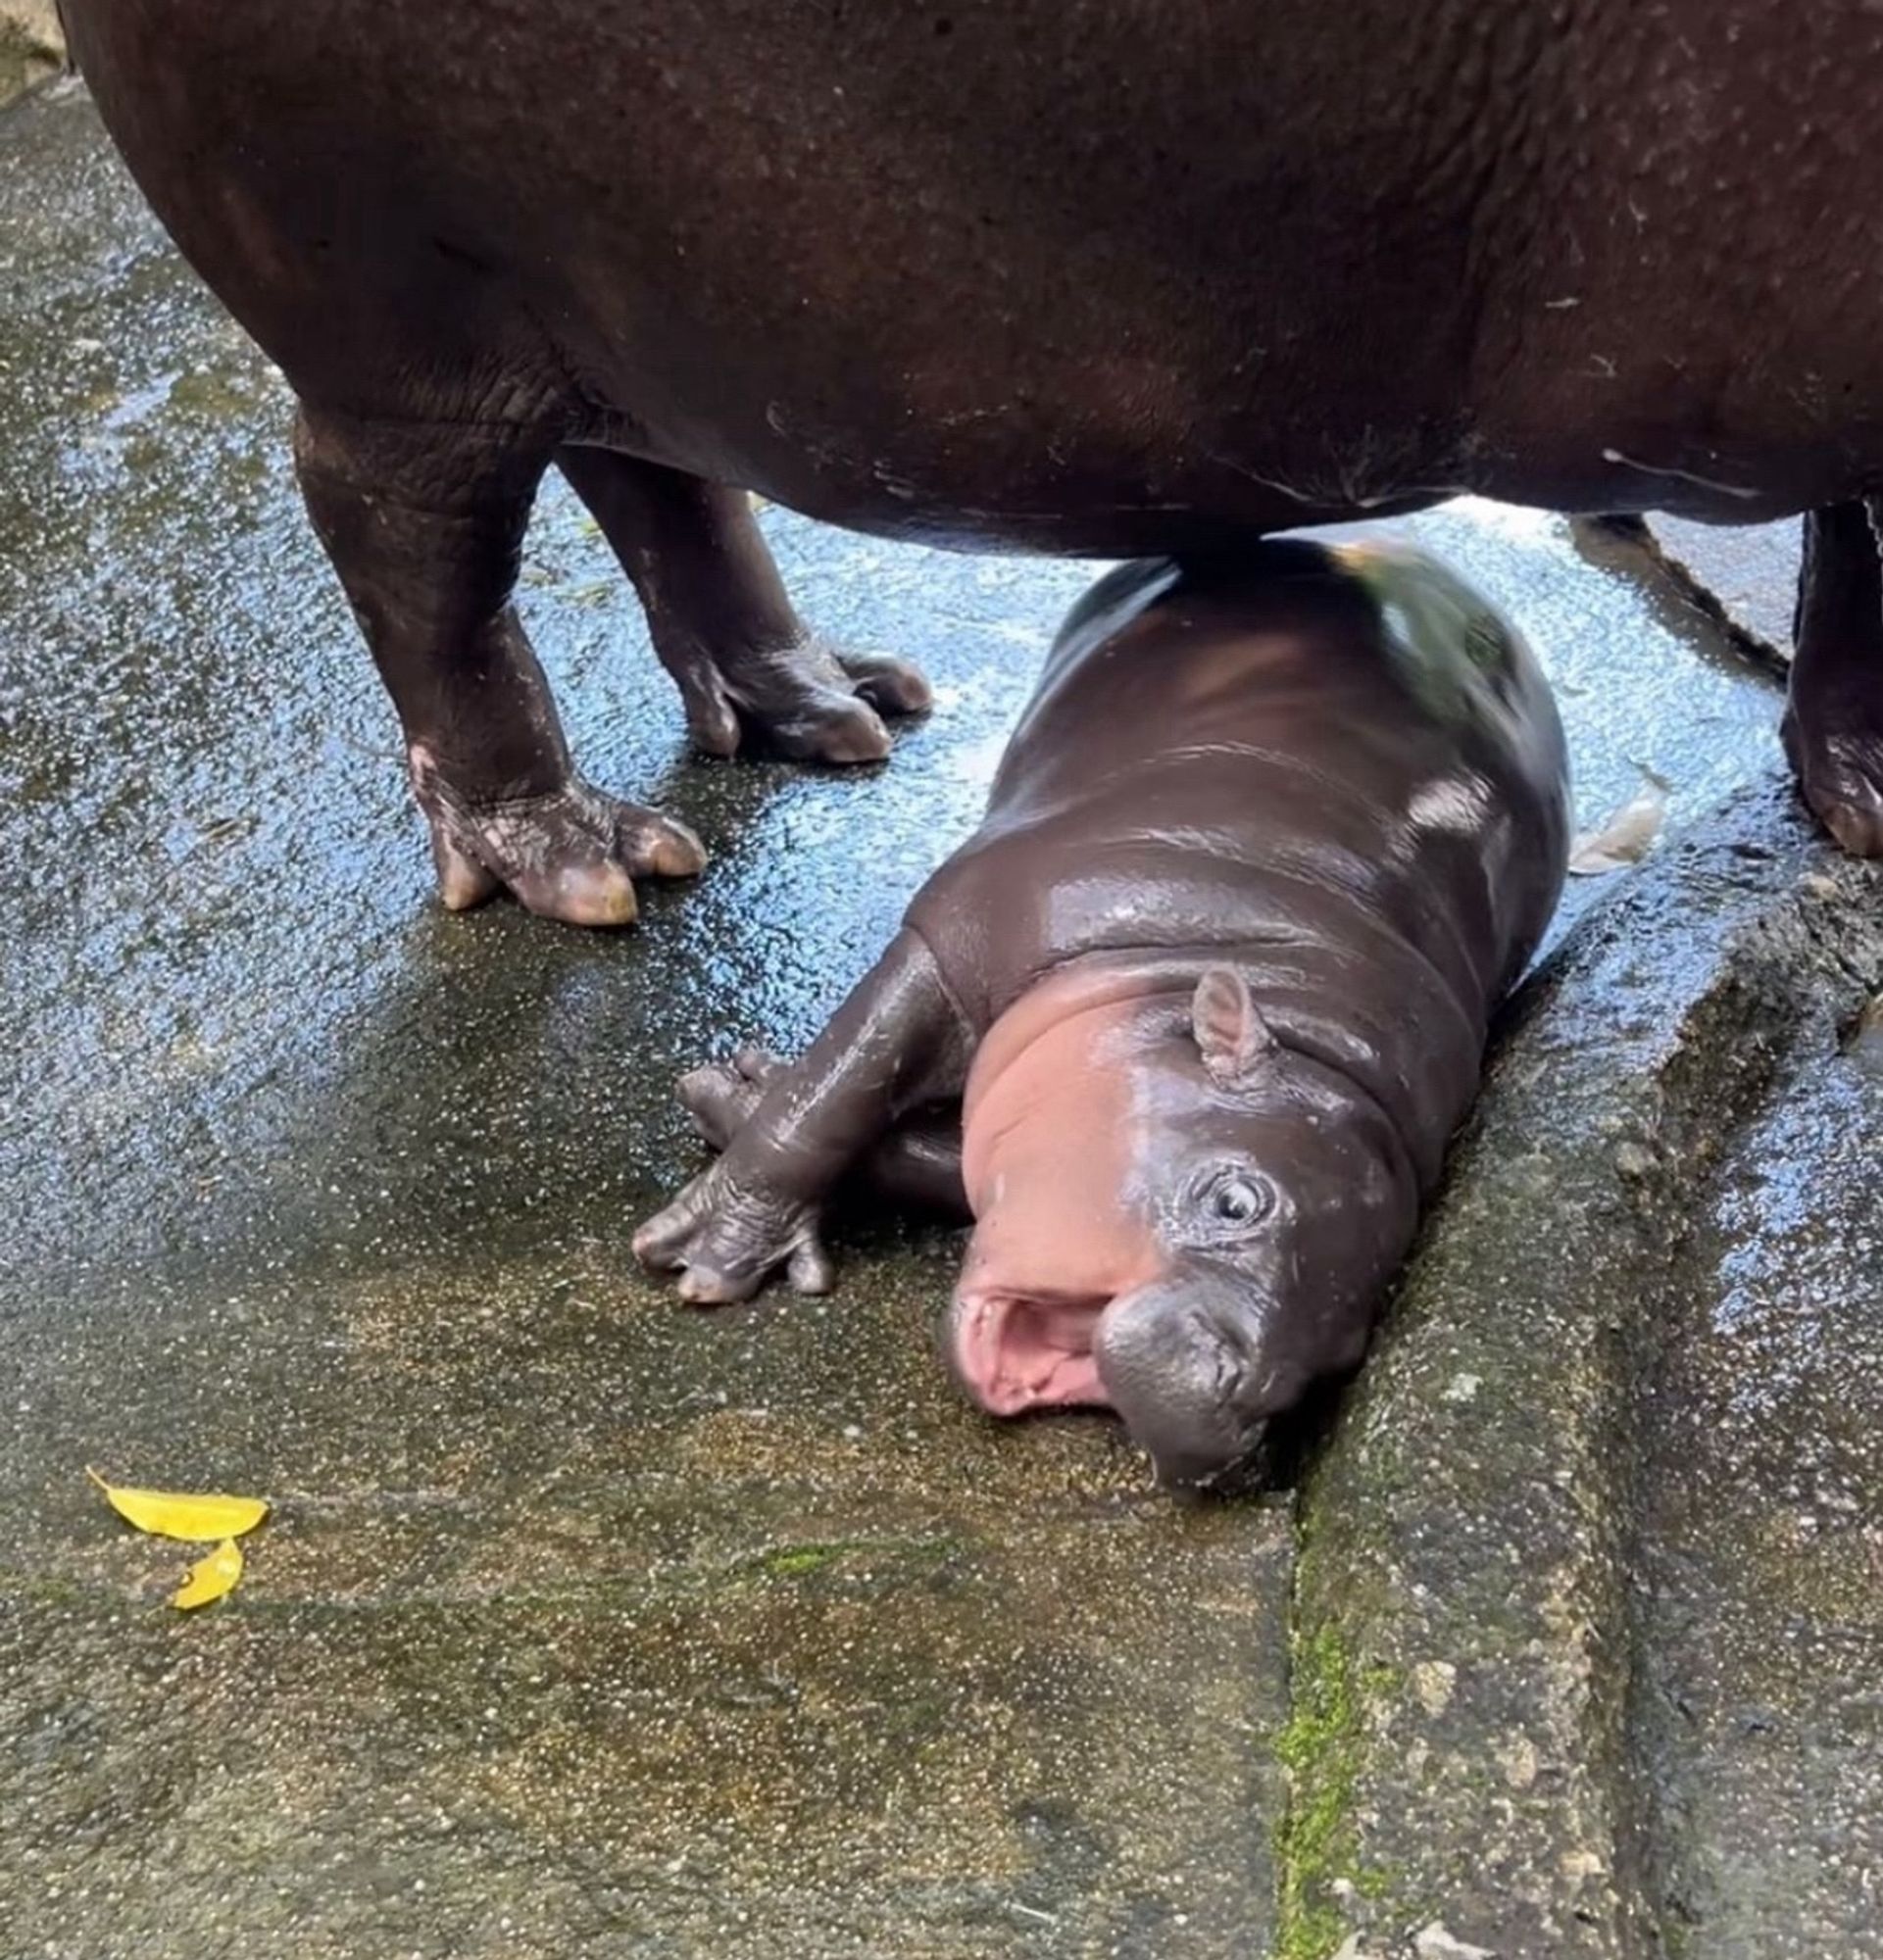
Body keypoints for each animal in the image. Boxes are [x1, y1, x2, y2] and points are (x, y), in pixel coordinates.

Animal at [59, 0, 1883, 917]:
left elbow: (1850, 538)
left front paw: (1858, 799)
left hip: (620, 297)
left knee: (655, 477)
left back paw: (837, 713)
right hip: (398, 324)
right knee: (412, 557)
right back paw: (581, 866)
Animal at [639, 537, 1568, 1482]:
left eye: (1342, 1350)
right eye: (1236, 1203)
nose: (1235, 1408)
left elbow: (932, 1157)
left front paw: (739, 1087)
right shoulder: (961, 934)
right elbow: (830, 1097)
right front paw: (710, 1254)